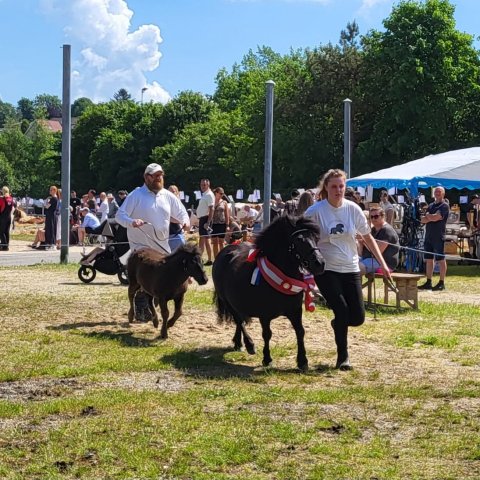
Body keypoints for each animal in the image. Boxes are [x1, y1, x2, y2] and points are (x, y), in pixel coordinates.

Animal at [213, 215, 322, 372]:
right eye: (299, 240)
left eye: (316, 237)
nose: (320, 263)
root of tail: (226, 250)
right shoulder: (264, 315)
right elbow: (267, 334)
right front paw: (267, 359)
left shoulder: (295, 311)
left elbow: (300, 331)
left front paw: (302, 361)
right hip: (227, 302)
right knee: (239, 321)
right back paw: (249, 345)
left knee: (239, 321)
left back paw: (238, 343)